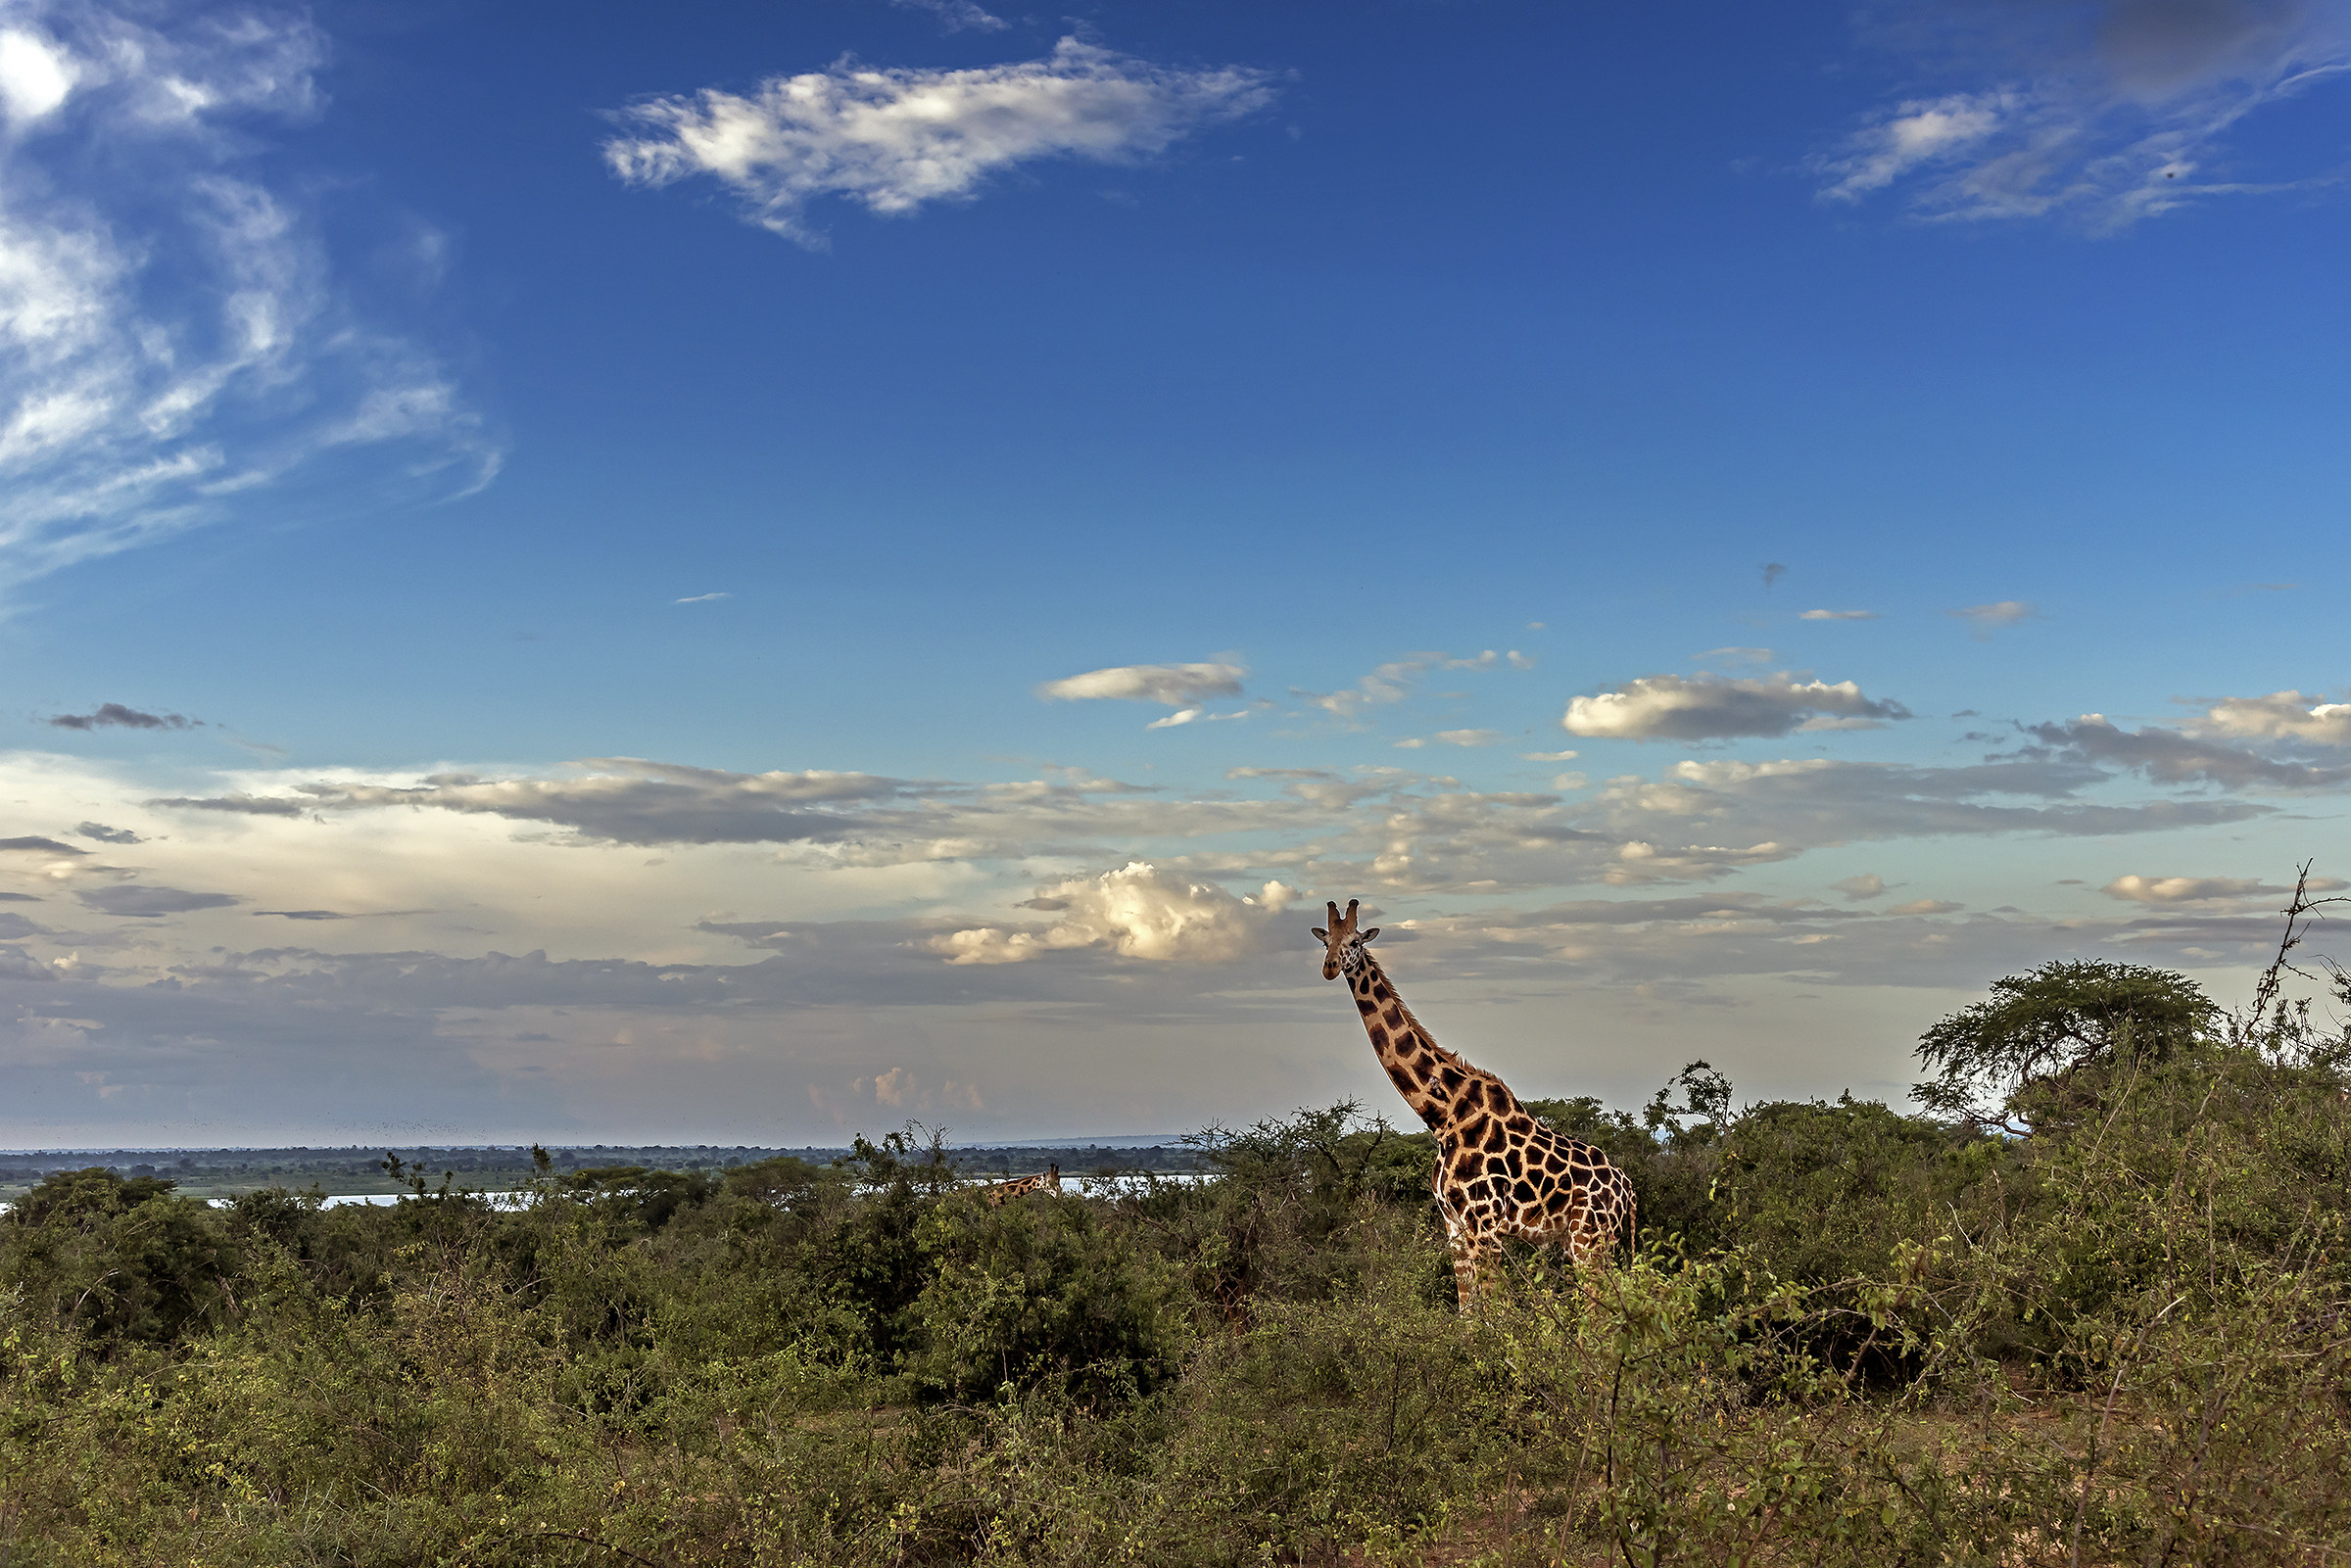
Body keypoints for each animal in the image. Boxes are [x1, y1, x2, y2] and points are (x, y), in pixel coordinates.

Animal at [1311, 898, 1636, 1306]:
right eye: (1326, 942)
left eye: (1354, 941)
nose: (1329, 968)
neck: (1442, 1115)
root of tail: (1629, 1192)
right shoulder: (1455, 1227)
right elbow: (1468, 1312)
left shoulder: (1484, 1225)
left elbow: (1497, 1309)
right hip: (1581, 1240)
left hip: (1590, 1239)